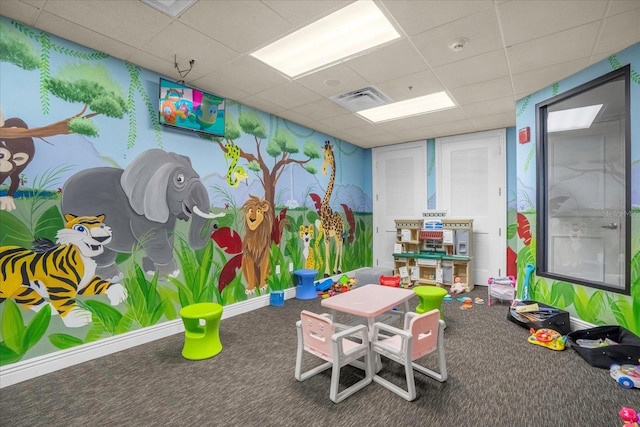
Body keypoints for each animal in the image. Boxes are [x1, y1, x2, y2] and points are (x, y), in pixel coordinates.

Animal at [0, 214, 129, 328]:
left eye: (102, 226)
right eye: (80, 229)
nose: (102, 238)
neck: (84, 258)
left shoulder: (86, 283)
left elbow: (102, 284)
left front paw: (118, 293)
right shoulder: (59, 288)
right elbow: (64, 302)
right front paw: (78, 317)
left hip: (21, 289)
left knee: (28, 299)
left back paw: (48, 309)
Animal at [60, 149, 225, 282]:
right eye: (179, 179)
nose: (215, 224)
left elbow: (168, 239)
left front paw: (153, 272)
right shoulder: (141, 216)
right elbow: (157, 242)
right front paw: (172, 275)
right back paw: (112, 278)